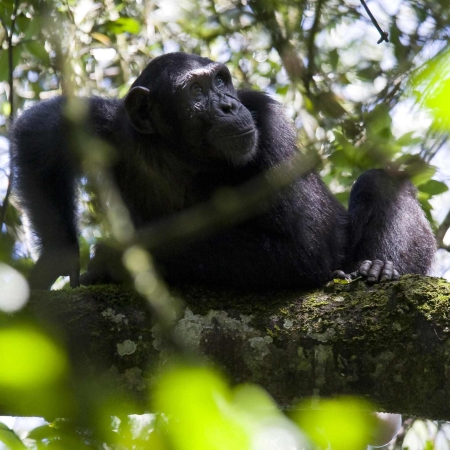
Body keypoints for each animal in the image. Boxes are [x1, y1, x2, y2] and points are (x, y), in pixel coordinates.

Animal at [7, 52, 436, 290]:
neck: (179, 155)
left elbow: (304, 247)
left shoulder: (269, 125)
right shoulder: (108, 127)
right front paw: (57, 261)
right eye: (196, 91)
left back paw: (377, 267)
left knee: (379, 183)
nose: (229, 105)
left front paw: (113, 258)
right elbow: (40, 134)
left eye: (220, 79)